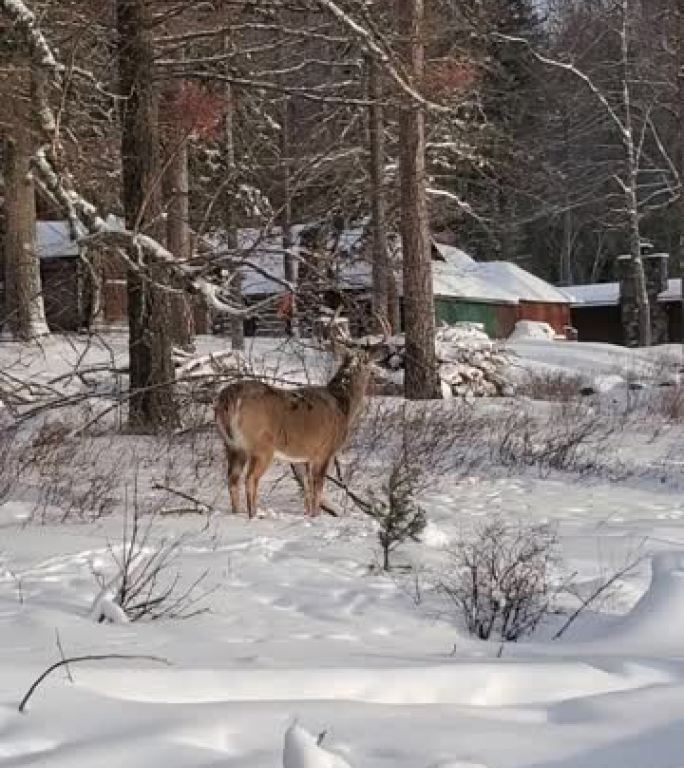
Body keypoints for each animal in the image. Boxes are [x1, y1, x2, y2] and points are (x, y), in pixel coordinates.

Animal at [214, 350, 374, 520]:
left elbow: (307, 487)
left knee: (232, 478)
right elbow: (318, 487)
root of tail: (228, 399)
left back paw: (236, 513)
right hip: (261, 445)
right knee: (250, 478)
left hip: (232, 445)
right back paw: (254, 515)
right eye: (370, 364)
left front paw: (308, 514)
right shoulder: (324, 451)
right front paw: (316, 516)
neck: (343, 406)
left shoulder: (304, 456)